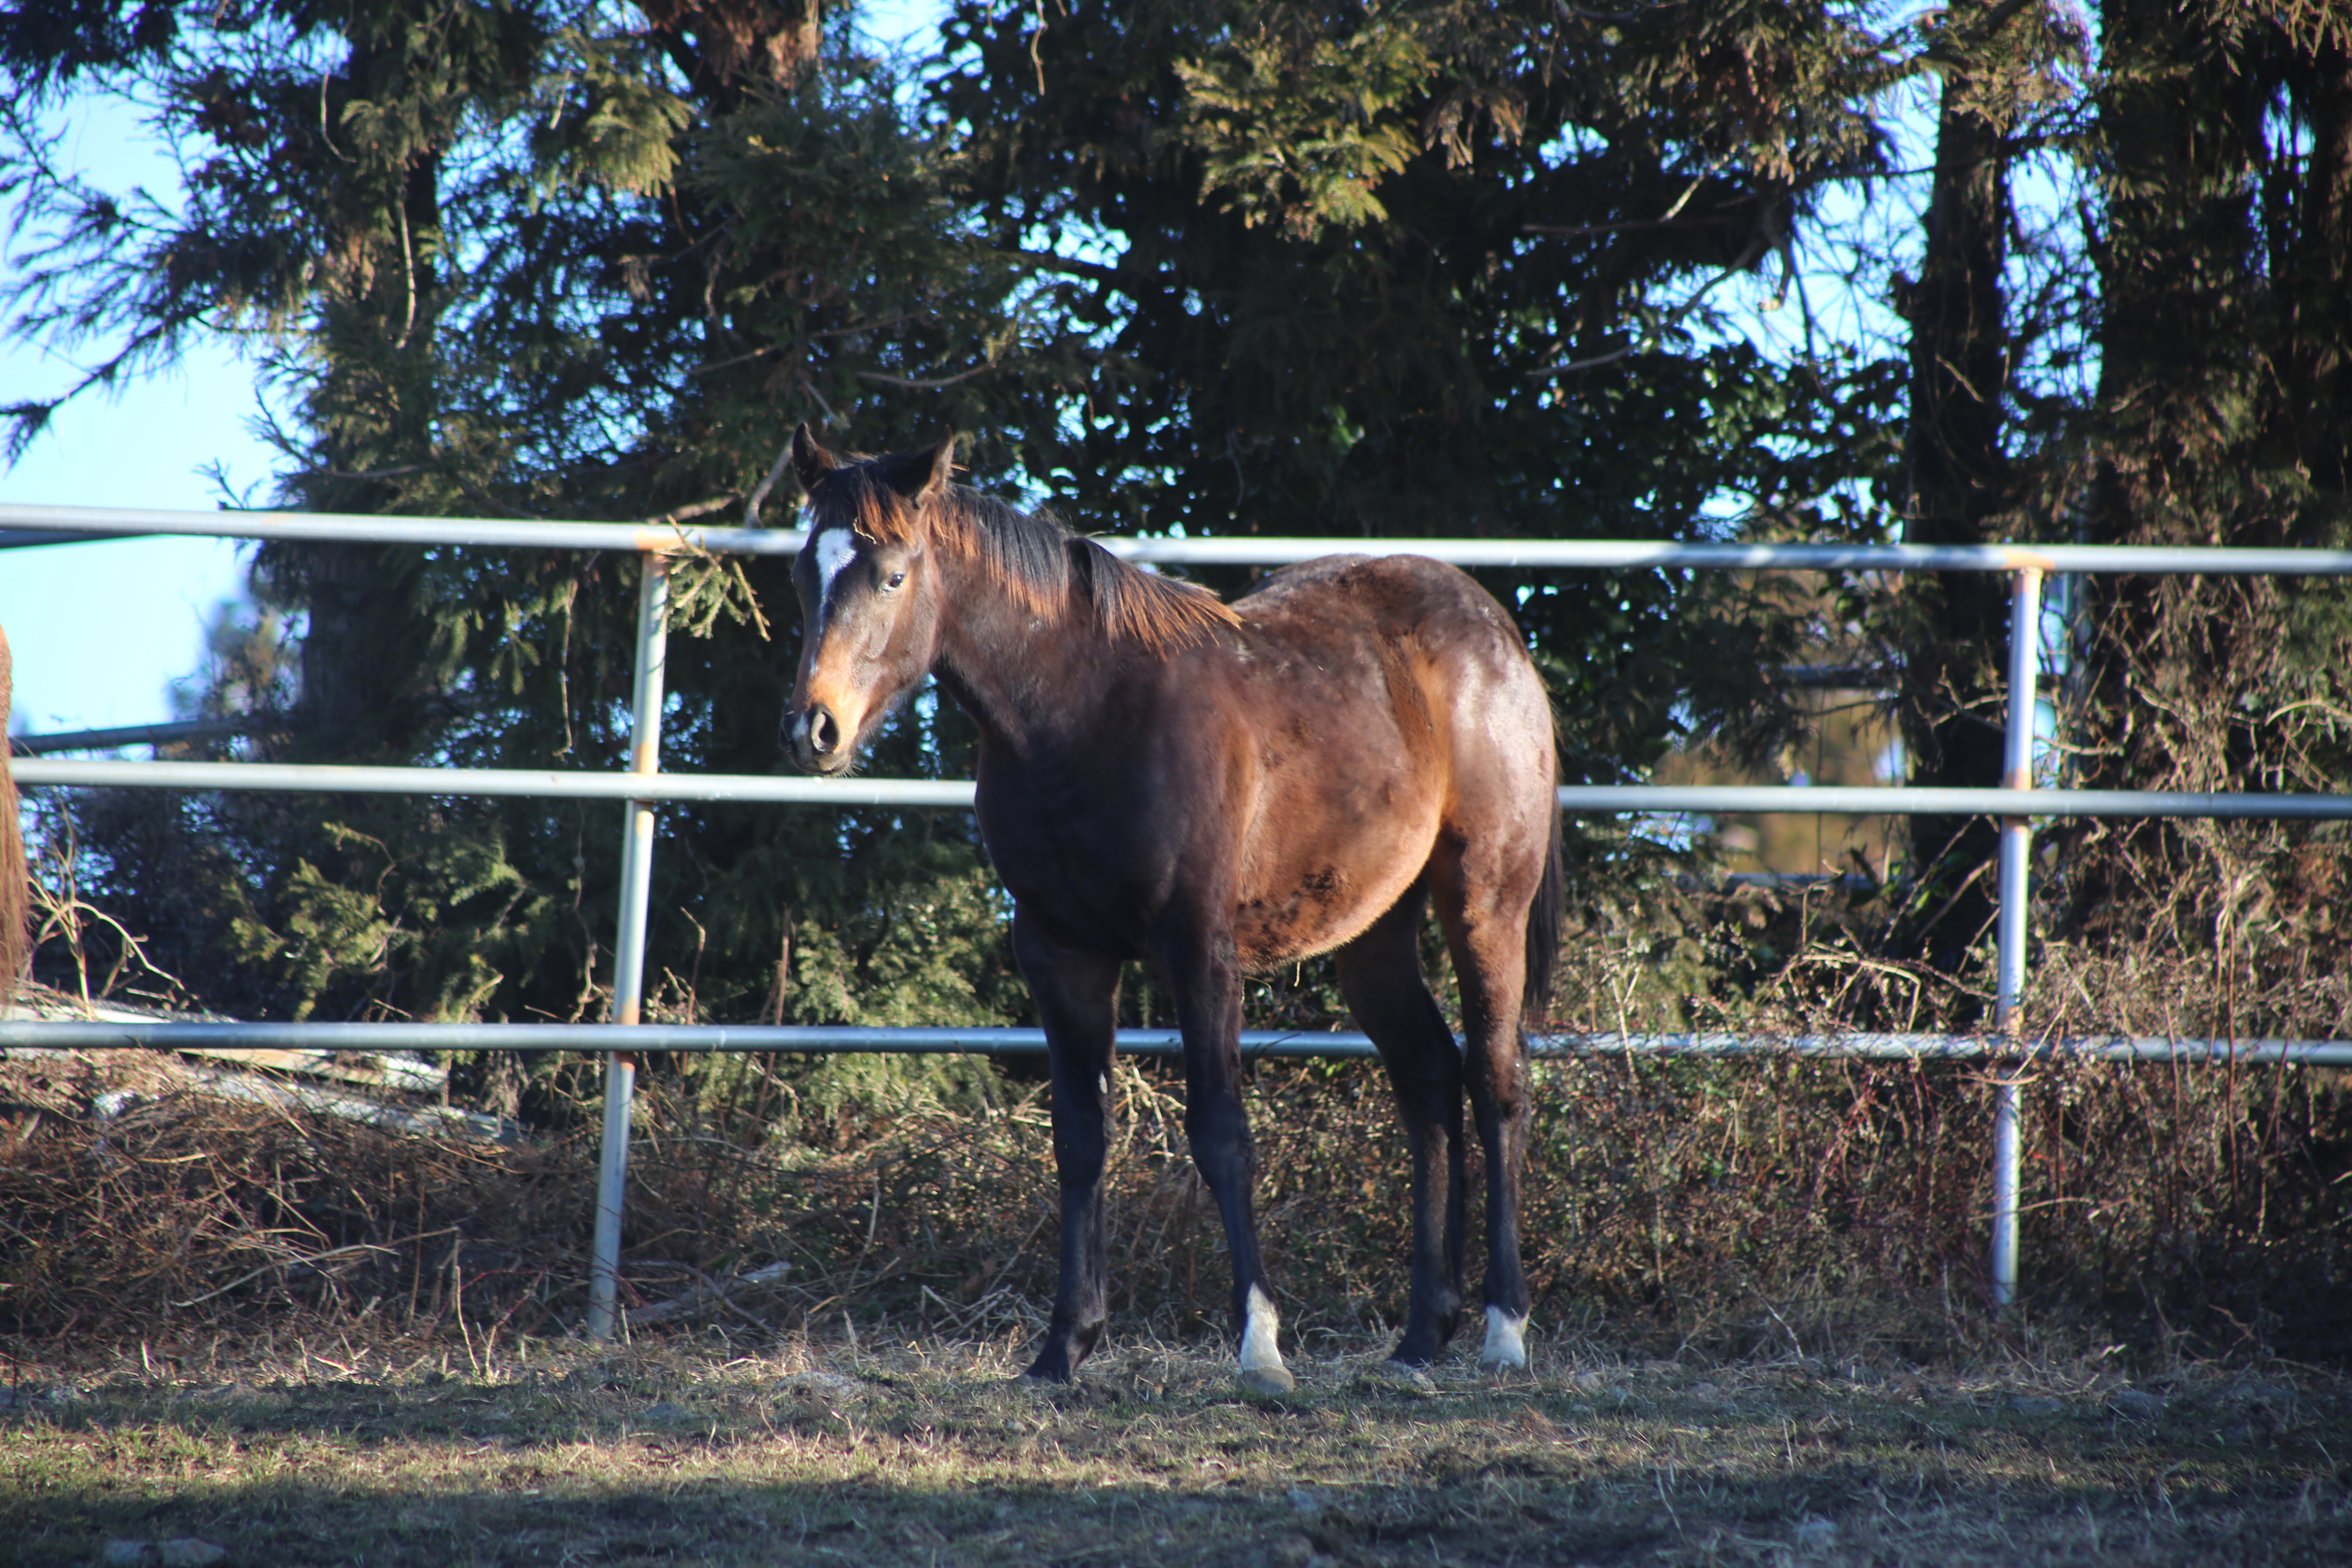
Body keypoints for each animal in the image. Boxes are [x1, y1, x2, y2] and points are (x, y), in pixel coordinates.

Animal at [785, 425, 1561, 1382]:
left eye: (892, 575)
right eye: (804, 573)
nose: (815, 729)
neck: (1081, 717)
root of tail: (1496, 633)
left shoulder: (1199, 950)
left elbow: (1222, 1133)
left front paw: (1259, 1344)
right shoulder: (1061, 954)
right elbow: (1079, 1138)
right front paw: (1063, 1347)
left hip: (1486, 900)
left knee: (1495, 1082)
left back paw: (1503, 1327)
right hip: (1375, 935)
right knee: (1427, 1080)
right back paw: (1423, 1334)